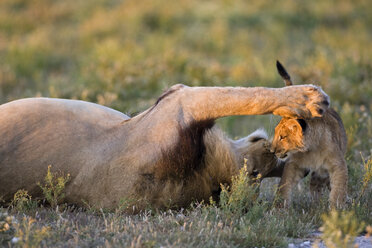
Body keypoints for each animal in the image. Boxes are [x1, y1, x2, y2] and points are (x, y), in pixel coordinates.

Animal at [268, 61, 348, 207]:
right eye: (276, 134)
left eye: (282, 137)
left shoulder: (338, 165)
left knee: (316, 184)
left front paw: (337, 208)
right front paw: (280, 207)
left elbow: (338, 189)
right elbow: (284, 185)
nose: (271, 150)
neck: (312, 149)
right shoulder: (293, 164)